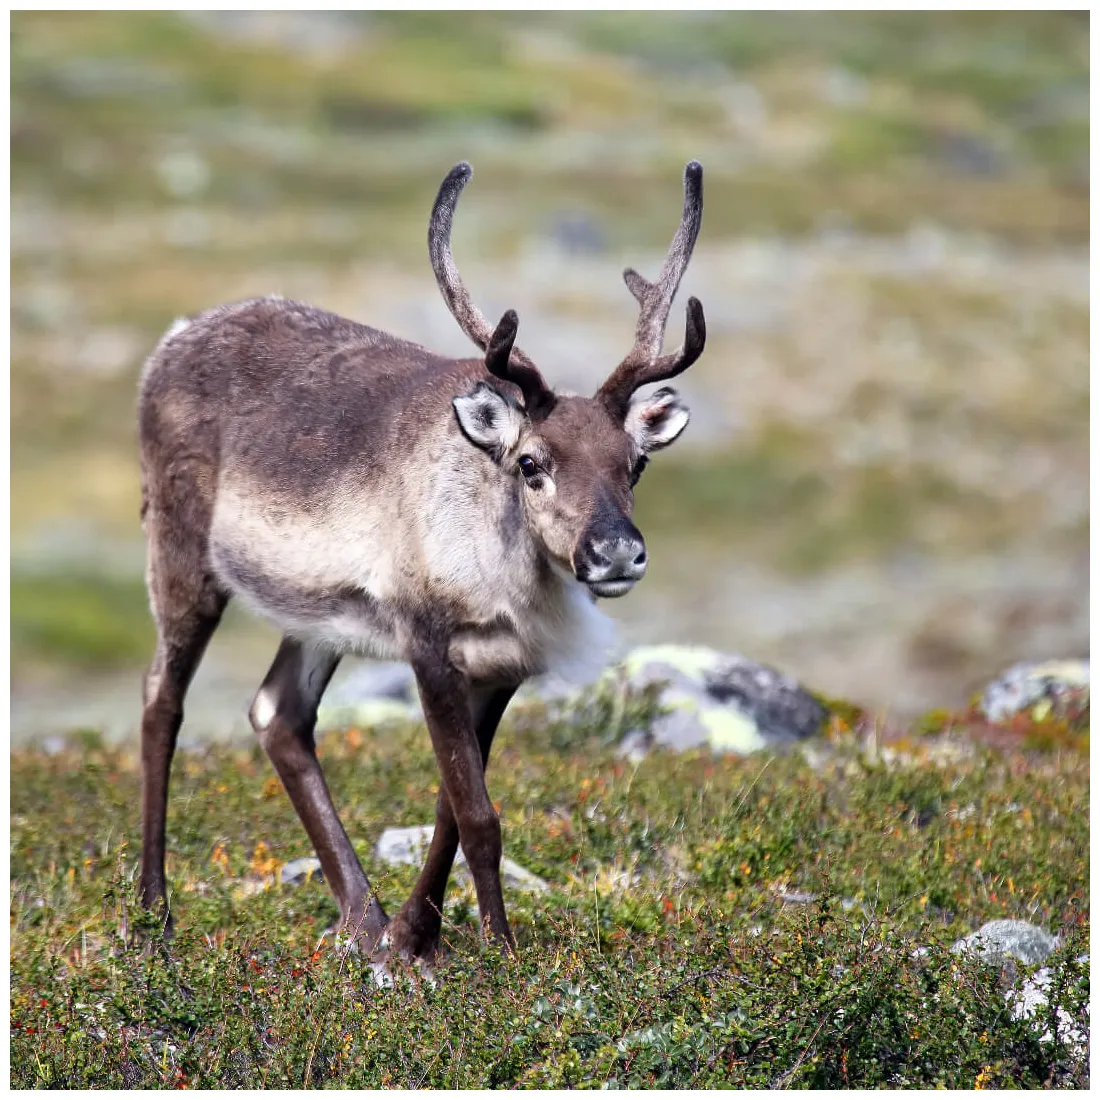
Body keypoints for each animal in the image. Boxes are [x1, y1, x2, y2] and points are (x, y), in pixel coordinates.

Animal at [136, 159, 706, 966]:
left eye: (637, 463)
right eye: (531, 463)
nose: (616, 552)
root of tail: (174, 337)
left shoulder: (500, 669)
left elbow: (452, 810)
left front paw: (415, 936)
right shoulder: (427, 645)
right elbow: (478, 815)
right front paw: (499, 950)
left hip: (318, 613)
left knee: (278, 712)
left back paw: (362, 920)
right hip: (181, 554)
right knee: (162, 700)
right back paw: (153, 914)